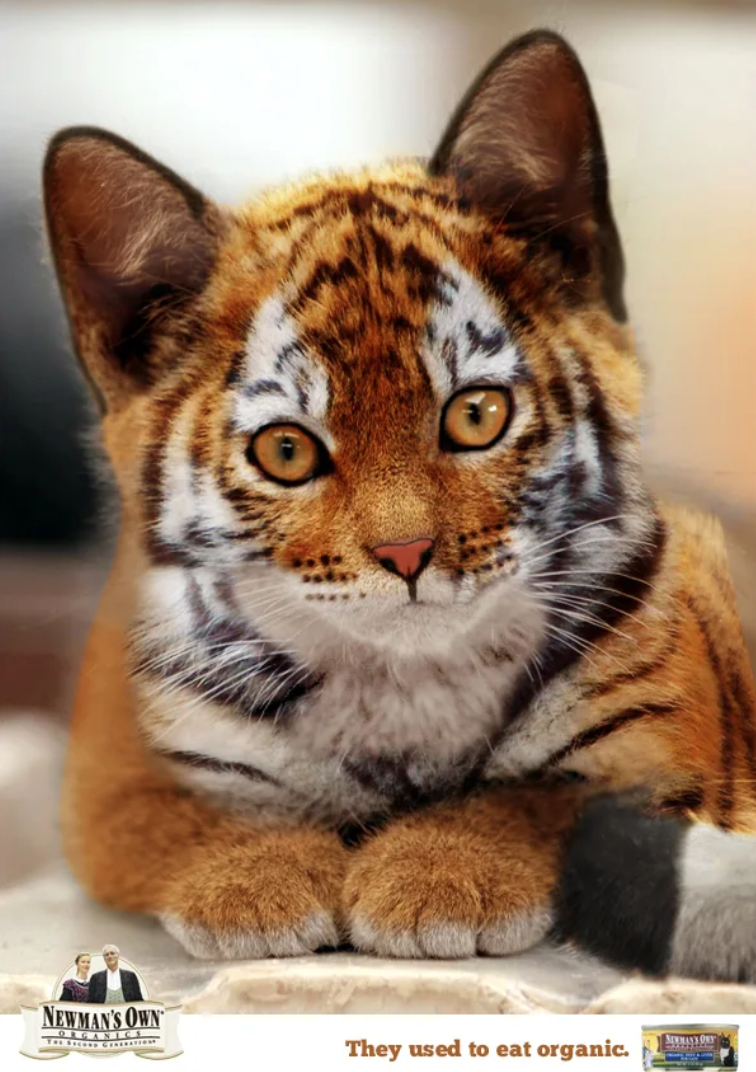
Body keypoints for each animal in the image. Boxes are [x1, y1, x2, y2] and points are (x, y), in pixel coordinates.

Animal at [44, 29, 756, 981]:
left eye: (477, 414)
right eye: (286, 451)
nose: (407, 555)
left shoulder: (664, 739)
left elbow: (543, 796)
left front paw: (435, 873)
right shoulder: (113, 771)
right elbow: (182, 817)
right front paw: (260, 881)